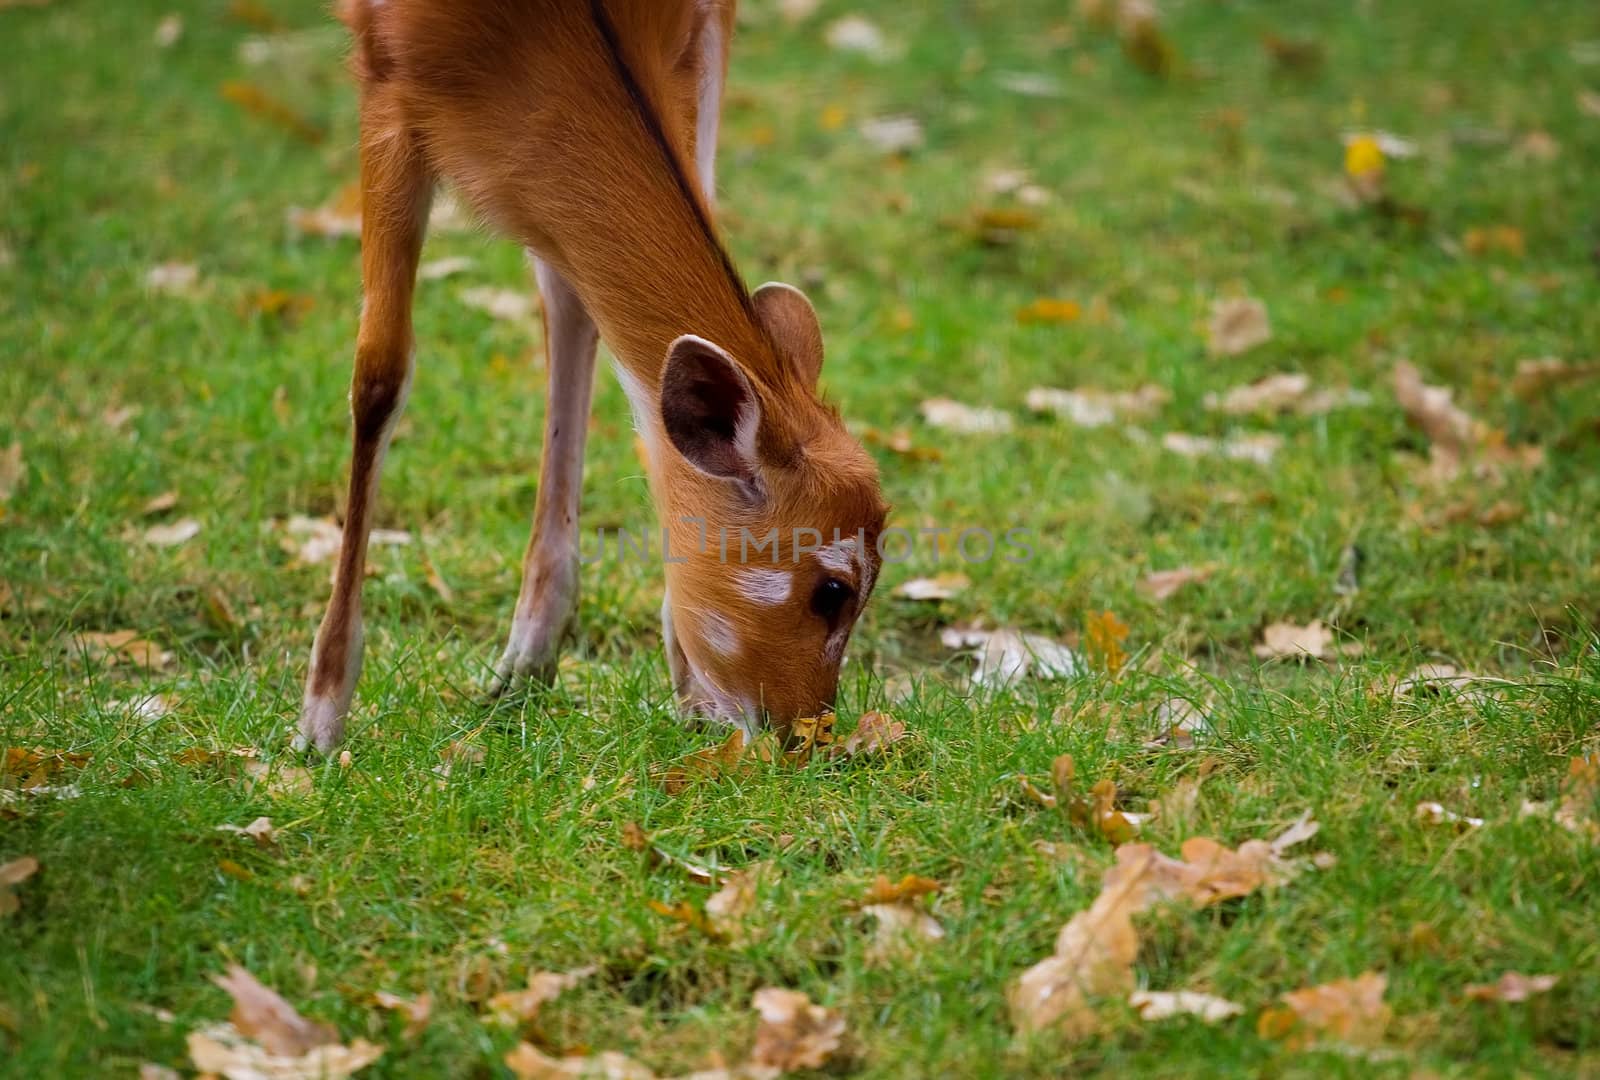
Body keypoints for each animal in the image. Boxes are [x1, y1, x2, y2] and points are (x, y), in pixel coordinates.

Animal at [300, 0, 889, 752]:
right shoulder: (382, 73)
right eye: (832, 591)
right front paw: (319, 718)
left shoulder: (707, 25)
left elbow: (579, 298)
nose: (809, 737)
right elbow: (380, 373)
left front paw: (635, 680)